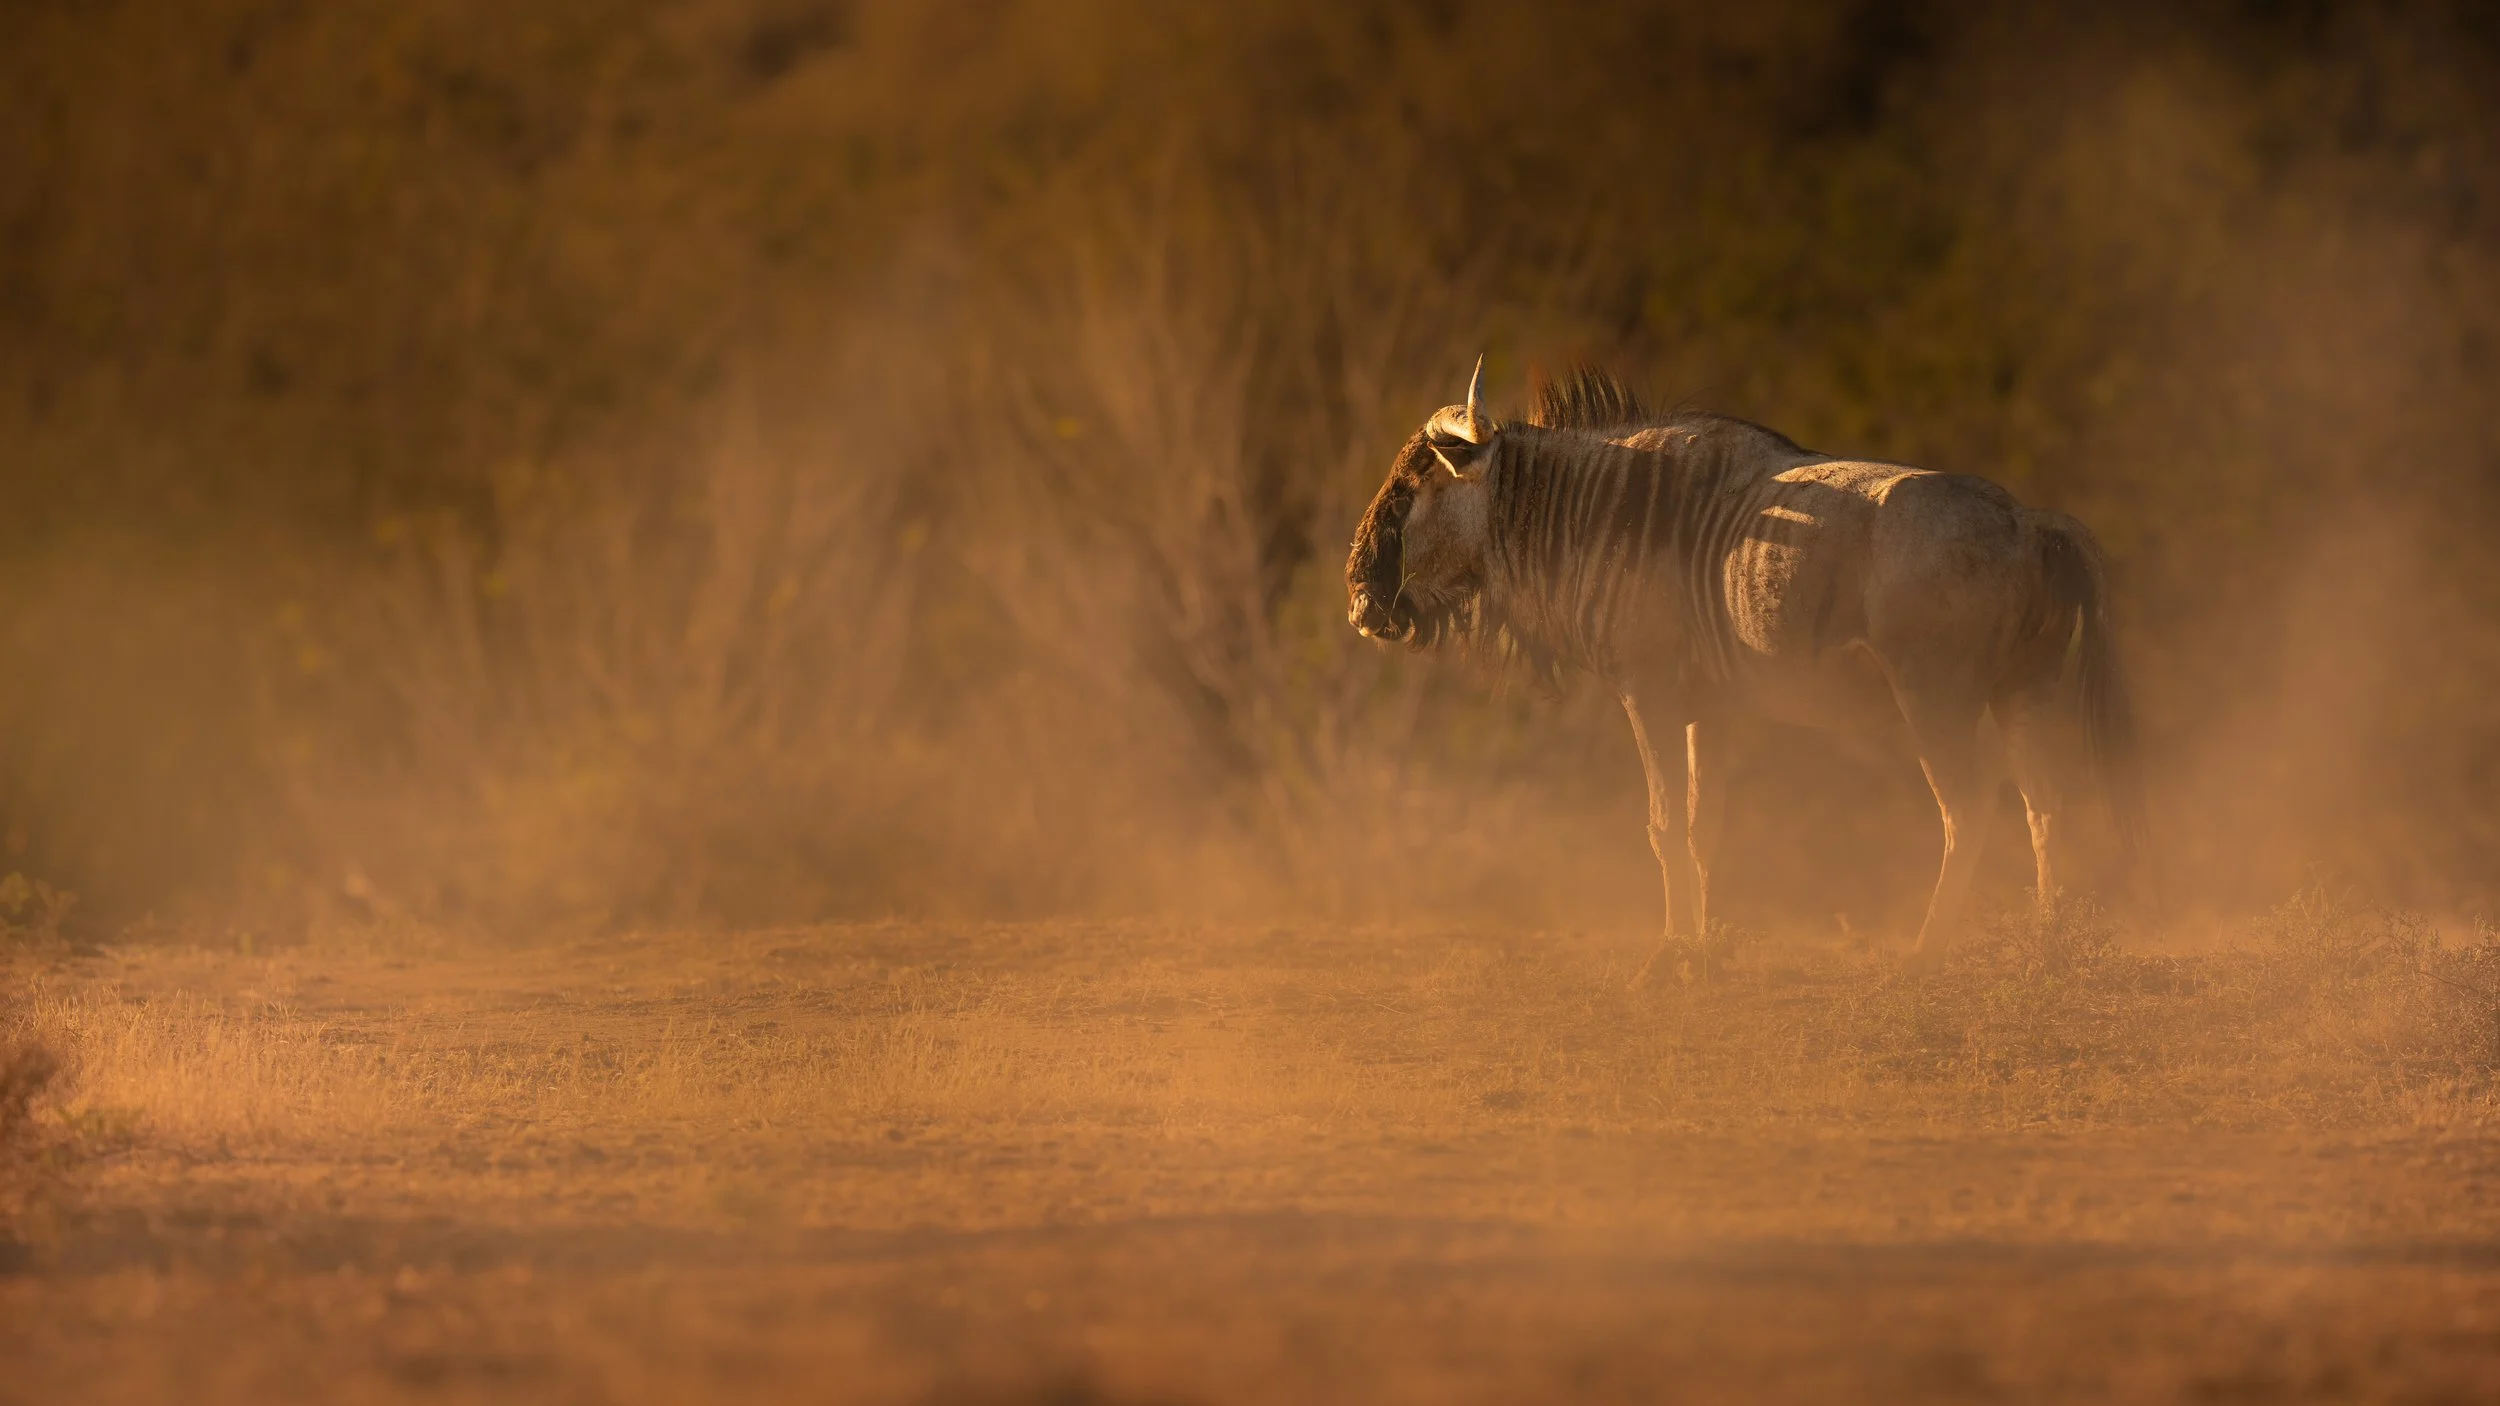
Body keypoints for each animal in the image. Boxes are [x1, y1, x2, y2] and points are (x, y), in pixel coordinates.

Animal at [1345, 360, 2142, 972]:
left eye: (1413, 486)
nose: (1360, 599)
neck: (1597, 506)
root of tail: (2027, 521)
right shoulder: (1710, 709)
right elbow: (1705, 828)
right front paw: (1700, 950)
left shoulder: (1648, 694)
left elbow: (1663, 826)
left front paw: (1668, 956)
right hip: (2024, 695)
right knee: (2045, 802)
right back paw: (2046, 947)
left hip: (1935, 702)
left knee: (1969, 809)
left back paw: (1924, 954)